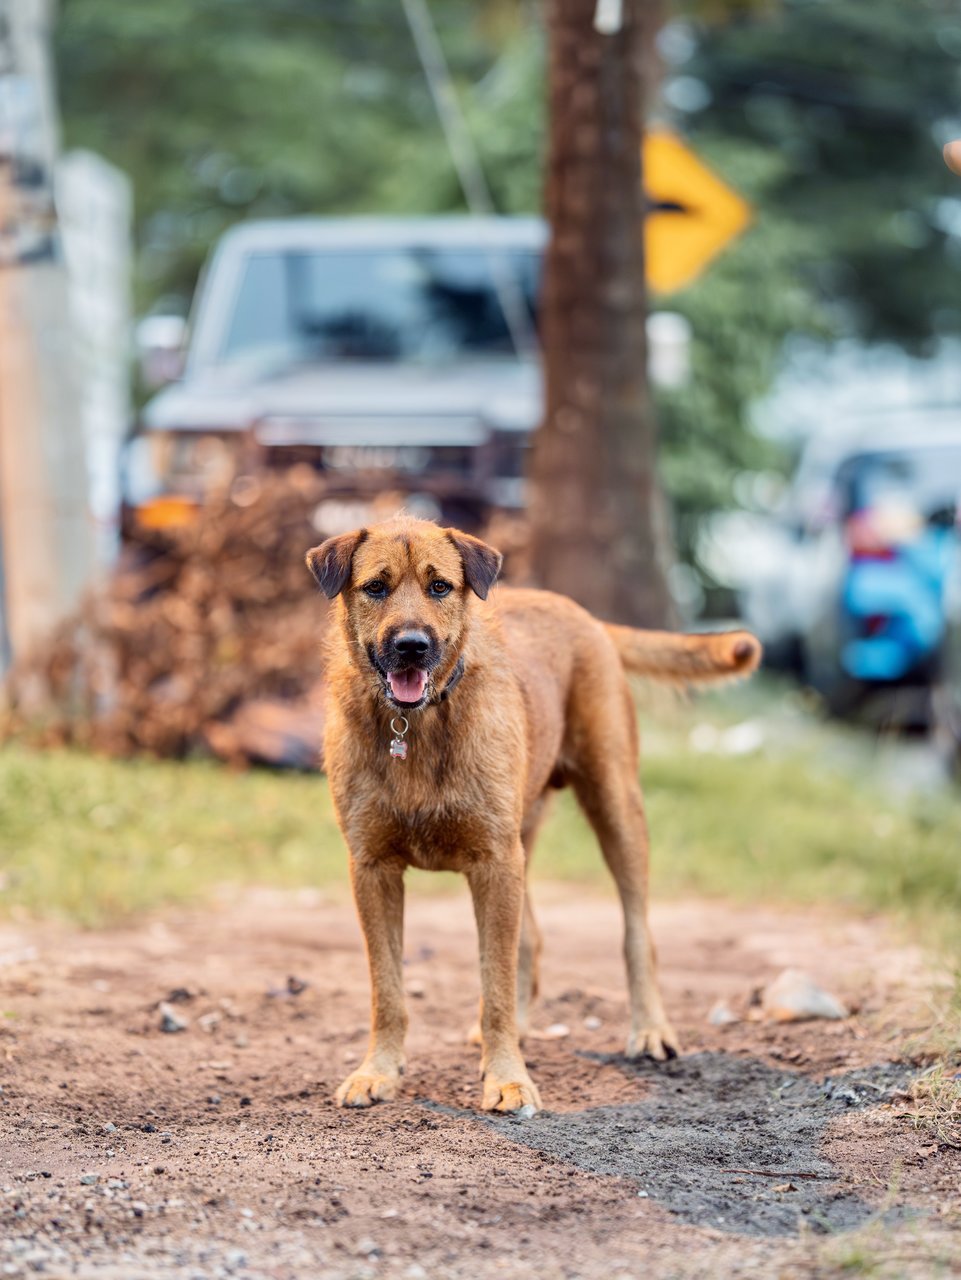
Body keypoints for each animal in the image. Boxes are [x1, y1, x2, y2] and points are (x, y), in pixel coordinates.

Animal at [305, 517, 757, 1111]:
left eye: (439, 587)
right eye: (376, 587)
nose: (411, 647)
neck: (417, 726)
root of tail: (583, 615)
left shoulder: (496, 864)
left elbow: (493, 986)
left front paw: (507, 1078)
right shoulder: (375, 869)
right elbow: (388, 989)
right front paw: (378, 1070)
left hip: (615, 808)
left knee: (637, 933)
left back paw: (650, 1028)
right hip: (523, 839)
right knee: (531, 939)